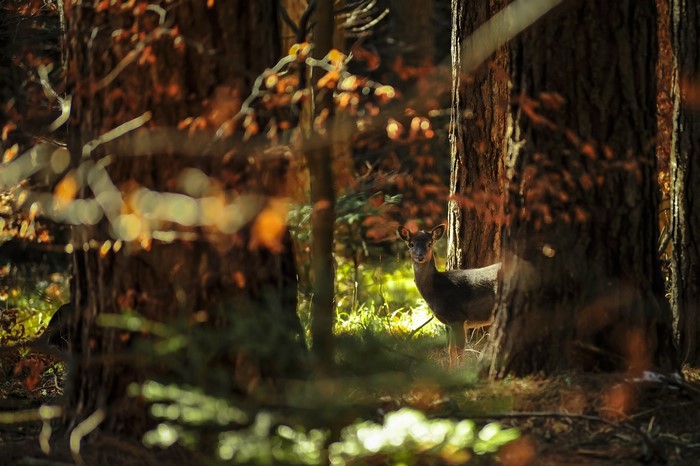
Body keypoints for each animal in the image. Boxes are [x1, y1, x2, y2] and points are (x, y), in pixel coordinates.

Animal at [398, 224, 501, 366]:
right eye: (411, 244)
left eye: (429, 244)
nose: (420, 256)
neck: (437, 290)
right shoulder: (450, 322)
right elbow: (451, 350)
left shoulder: (458, 318)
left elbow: (459, 351)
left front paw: (461, 370)